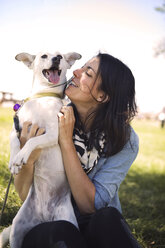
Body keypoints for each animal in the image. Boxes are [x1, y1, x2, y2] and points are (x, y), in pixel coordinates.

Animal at [0, 50, 81, 248]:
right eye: (44, 56)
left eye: (60, 55)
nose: (56, 58)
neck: (43, 97)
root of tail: (44, 217)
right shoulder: (16, 130)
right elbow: (15, 143)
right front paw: (14, 161)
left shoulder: (52, 133)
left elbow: (32, 142)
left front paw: (21, 157)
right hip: (17, 229)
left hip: (67, 221)